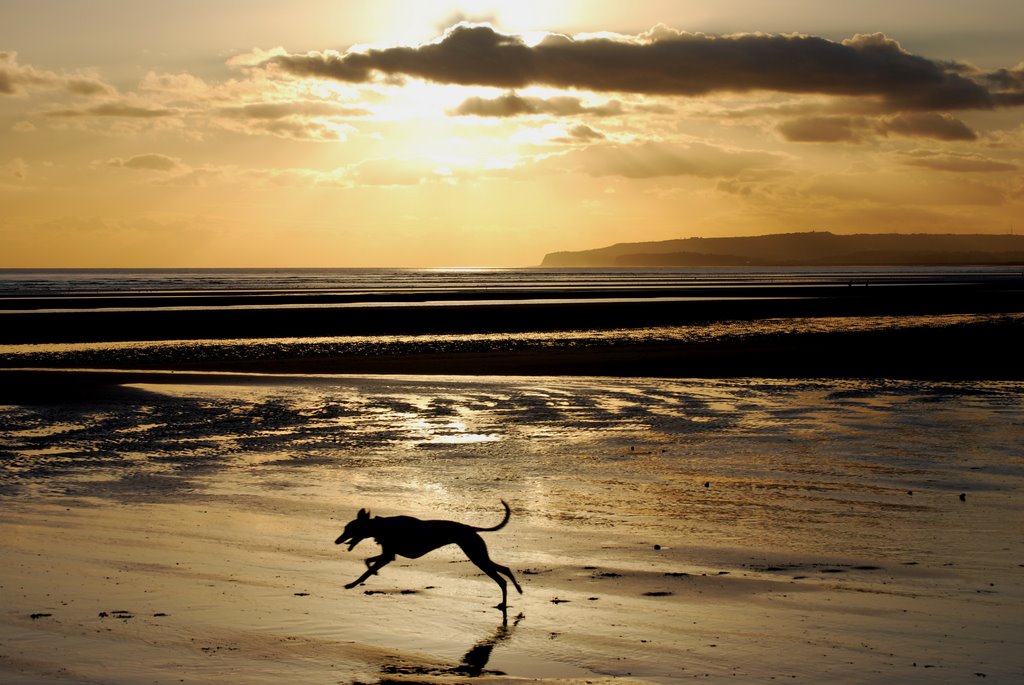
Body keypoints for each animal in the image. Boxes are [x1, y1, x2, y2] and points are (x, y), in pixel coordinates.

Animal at [335, 497, 524, 610]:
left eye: (349, 528)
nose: (337, 540)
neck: (381, 526)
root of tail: (470, 527)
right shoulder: (389, 554)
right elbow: (368, 561)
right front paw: (371, 573)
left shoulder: (388, 556)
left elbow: (366, 570)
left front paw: (353, 583)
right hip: (478, 554)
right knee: (505, 569)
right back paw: (516, 591)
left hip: (476, 556)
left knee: (501, 579)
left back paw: (504, 602)